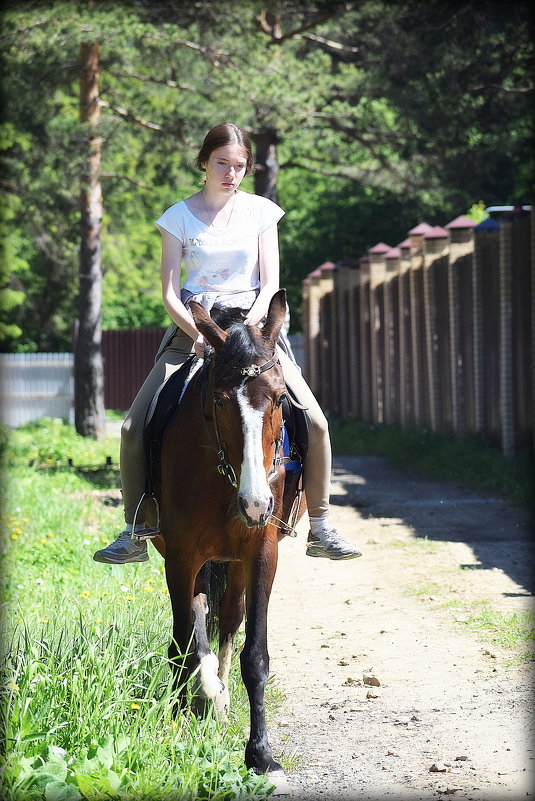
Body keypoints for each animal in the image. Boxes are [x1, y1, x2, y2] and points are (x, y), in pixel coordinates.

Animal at [153, 290, 306, 788]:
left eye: (280, 398)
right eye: (219, 401)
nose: (256, 504)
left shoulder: (260, 555)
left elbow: (254, 655)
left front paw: (261, 757)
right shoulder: (180, 556)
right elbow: (185, 641)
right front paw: (192, 709)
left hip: (232, 564)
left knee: (228, 620)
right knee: (194, 622)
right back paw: (202, 698)